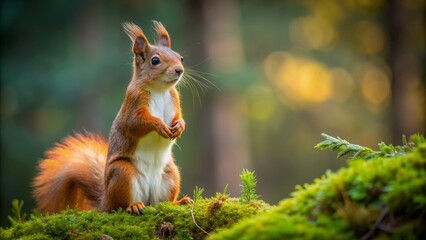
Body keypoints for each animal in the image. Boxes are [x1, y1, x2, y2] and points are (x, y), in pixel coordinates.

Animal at [32, 21, 191, 216]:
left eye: (180, 57)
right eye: (155, 60)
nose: (179, 70)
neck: (159, 90)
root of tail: (105, 199)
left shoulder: (174, 100)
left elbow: (178, 117)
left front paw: (180, 126)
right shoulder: (133, 104)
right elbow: (135, 124)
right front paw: (159, 125)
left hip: (170, 174)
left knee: (162, 202)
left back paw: (179, 202)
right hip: (122, 173)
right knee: (119, 206)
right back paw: (134, 206)